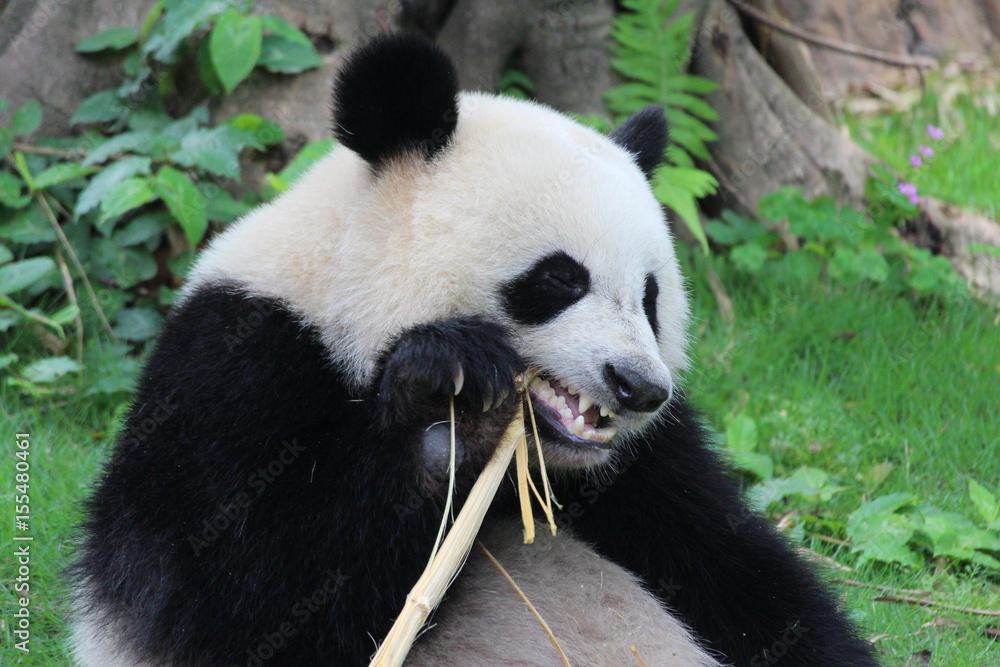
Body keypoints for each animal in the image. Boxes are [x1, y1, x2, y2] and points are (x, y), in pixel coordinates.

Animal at [71, 34, 878, 667]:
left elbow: (739, 573)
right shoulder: (236, 365)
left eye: (651, 296)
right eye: (558, 279)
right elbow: (232, 592)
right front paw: (442, 398)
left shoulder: (648, 466)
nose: (638, 387)